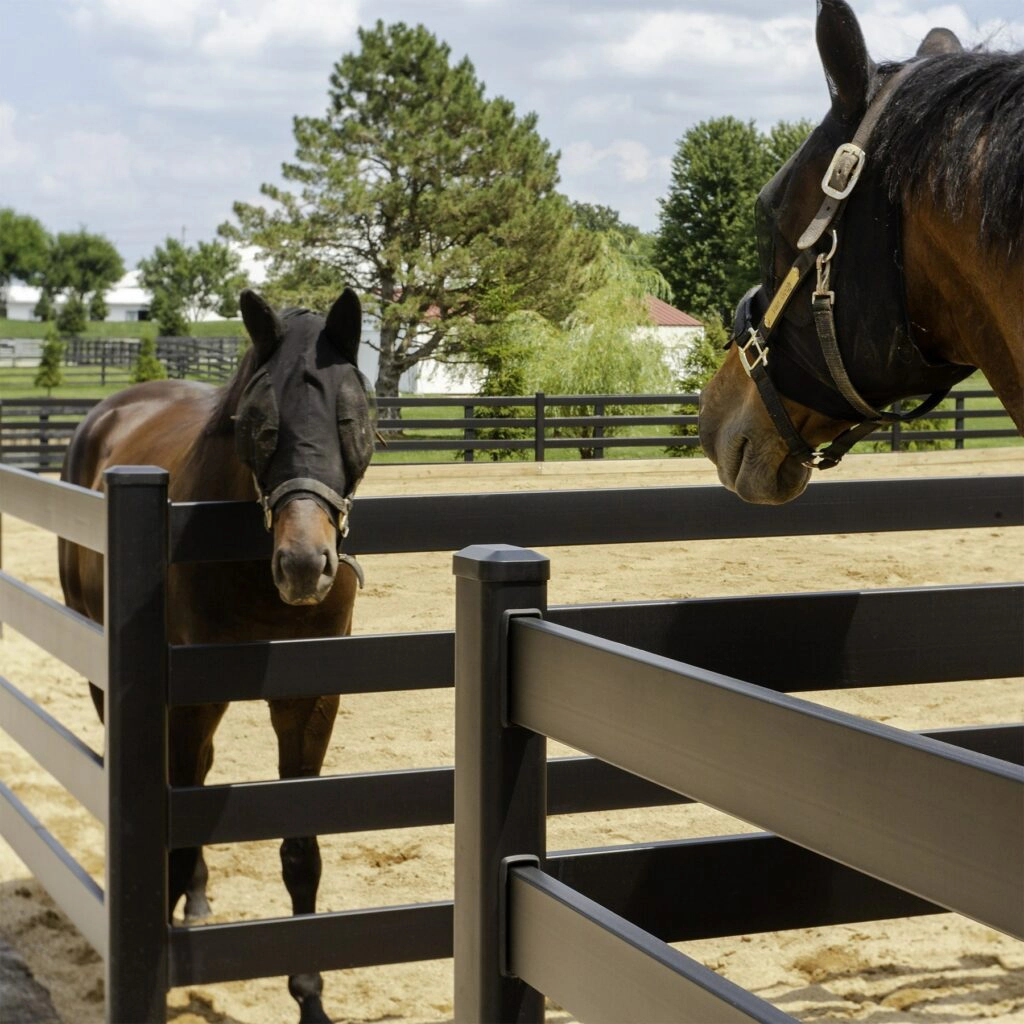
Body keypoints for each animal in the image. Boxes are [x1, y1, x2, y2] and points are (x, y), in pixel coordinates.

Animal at [58, 288, 375, 1023]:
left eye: (350, 416)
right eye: (257, 424)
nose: (304, 565)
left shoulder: (309, 702)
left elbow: (301, 850)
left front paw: (310, 998)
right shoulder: (188, 700)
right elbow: (174, 828)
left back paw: (199, 899)